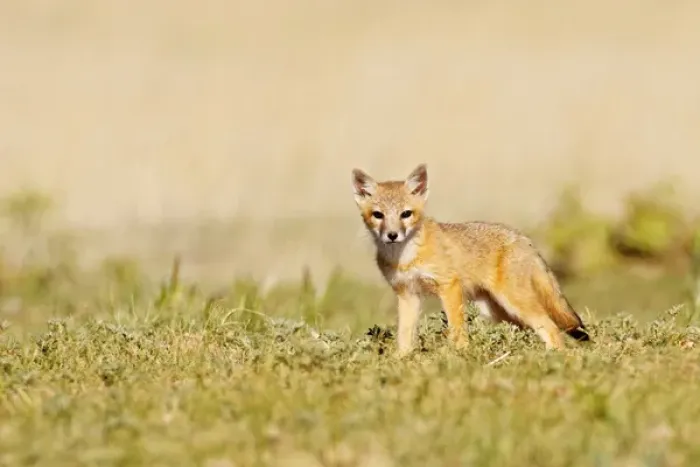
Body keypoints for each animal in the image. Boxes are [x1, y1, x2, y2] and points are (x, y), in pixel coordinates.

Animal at [351, 163, 590, 356]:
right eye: (378, 215)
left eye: (406, 214)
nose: (392, 235)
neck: (406, 257)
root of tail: (521, 237)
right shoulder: (407, 294)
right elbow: (404, 335)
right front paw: (402, 360)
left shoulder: (449, 286)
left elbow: (456, 328)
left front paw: (461, 354)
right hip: (497, 312)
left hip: (515, 303)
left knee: (551, 328)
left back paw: (554, 357)